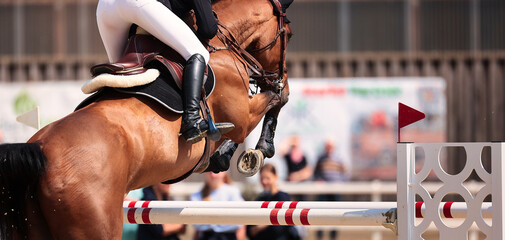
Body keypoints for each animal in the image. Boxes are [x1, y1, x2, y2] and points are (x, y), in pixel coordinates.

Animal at [0, 0, 292, 239]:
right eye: (288, 34)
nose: (280, 74)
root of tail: (40, 148)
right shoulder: (242, 115)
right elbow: (277, 98)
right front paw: (257, 151)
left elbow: (274, 99)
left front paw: (230, 155)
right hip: (96, 225)